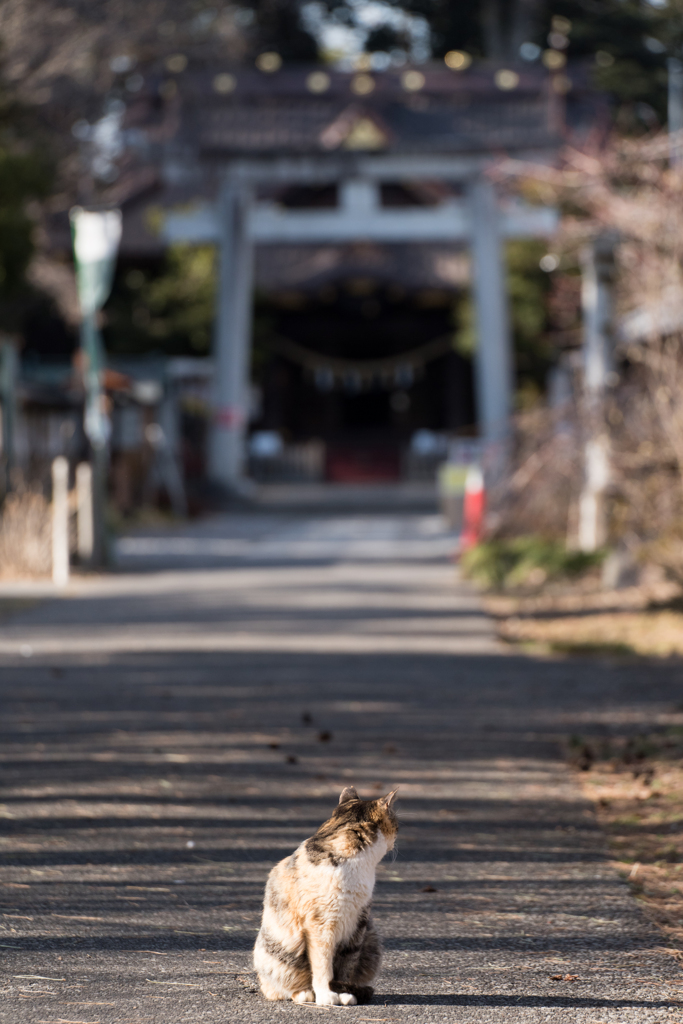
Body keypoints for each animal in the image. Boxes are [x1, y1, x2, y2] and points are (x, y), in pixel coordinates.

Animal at [253, 786, 397, 1003]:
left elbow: (346, 964)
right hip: (276, 954)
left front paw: (344, 993)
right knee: (276, 988)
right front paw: (326, 995)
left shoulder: (358, 923)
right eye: (396, 822)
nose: (396, 838)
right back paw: (304, 994)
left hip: (371, 940)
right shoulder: (320, 925)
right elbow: (322, 964)